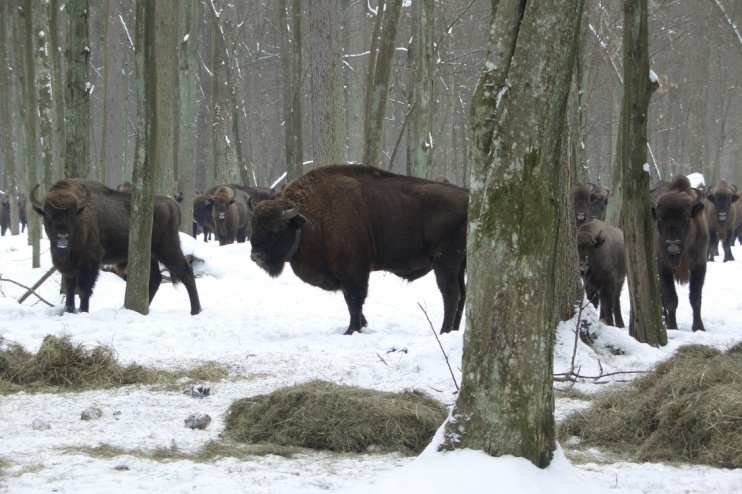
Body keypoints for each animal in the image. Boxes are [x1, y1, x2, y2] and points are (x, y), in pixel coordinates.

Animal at [30, 179, 202, 314]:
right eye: (48, 216)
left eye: (72, 216)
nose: (62, 238)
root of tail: (173, 204)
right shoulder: (67, 266)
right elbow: (71, 288)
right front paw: (69, 310)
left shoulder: (90, 262)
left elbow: (84, 288)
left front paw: (83, 311)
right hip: (150, 255)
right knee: (155, 279)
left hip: (168, 248)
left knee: (186, 273)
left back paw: (195, 310)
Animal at [251, 166, 470, 336]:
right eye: (253, 226)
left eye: (277, 228)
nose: (255, 256)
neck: (312, 220)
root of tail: (468, 196)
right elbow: (351, 301)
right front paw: (362, 325)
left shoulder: (354, 271)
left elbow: (354, 300)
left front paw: (351, 330)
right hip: (460, 265)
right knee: (462, 295)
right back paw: (454, 330)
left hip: (445, 262)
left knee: (451, 294)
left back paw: (444, 331)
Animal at [656, 175, 708, 332]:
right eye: (660, 218)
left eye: (686, 217)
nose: (673, 246)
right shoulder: (663, 267)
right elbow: (671, 299)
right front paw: (672, 326)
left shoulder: (699, 266)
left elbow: (695, 298)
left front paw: (698, 327)